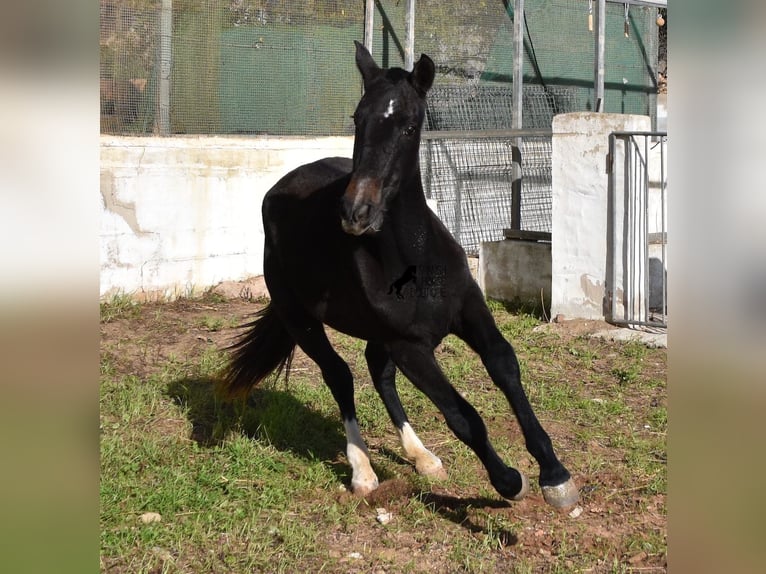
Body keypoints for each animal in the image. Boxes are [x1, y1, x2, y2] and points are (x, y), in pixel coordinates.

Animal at [225, 40, 580, 510]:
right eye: (358, 119)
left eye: (410, 126)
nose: (356, 212)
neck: (416, 261)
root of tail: (278, 188)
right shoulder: (410, 346)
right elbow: (462, 415)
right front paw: (508, 480)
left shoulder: (468, 308)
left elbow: (504, 365)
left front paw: (555, 476)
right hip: (300, 319)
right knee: (340, 376)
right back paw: (362, 471)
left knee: (377, 371)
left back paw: (422, 456)